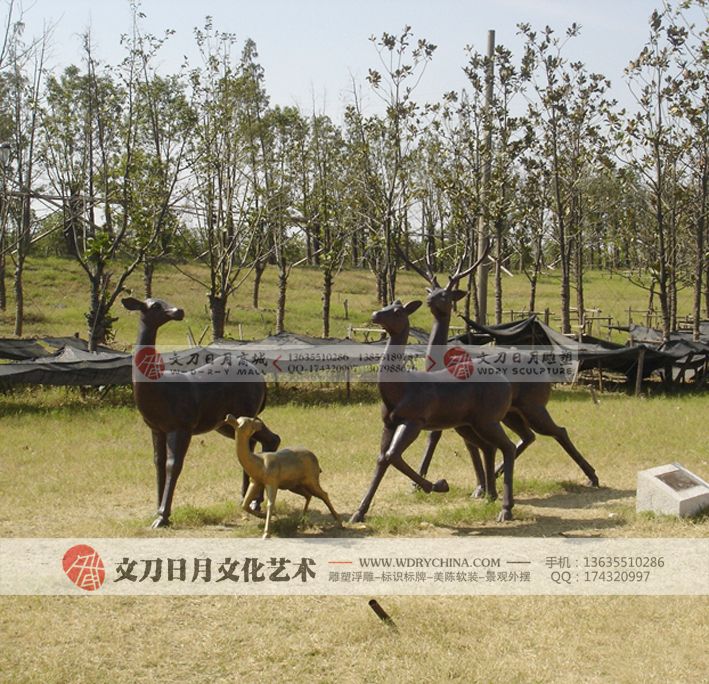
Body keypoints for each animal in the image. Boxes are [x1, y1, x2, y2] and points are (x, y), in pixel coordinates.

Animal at [122, 297, 281, 528]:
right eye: (156, 306)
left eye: (166, 302)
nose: (178, 311)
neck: (159, 387)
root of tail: (261, 379)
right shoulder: (156, 428)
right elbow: (158, 463)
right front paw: (156, 512)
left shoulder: (182, 426)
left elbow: (173, 465)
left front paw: (163, 516)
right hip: (227, 422)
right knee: (261, 440)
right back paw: (249, 500)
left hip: (244, 412)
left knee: (266, 439)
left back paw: (253, 502)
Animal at [349, 299, 518, 524]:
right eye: (387, 304)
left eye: (397, 311)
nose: (376, 315)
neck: (399, 389)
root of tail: (506, 384)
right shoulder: (388, 423)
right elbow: (382, 458)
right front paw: (358, 512)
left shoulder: (414, 420)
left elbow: (393, 455)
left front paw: (438, 485)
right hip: (466, 424)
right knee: (489, 447)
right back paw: (490, 496)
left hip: (488, 419)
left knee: (508, 446)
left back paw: (506, 509)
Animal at [400, 245, 599, 496]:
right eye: (432, 289)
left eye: (446, 294)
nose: (429, 299)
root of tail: (543, 369)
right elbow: (462, 445)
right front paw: (478, 486)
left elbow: (443, 439)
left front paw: (420, 484)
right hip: (511, 412)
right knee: (527, 436)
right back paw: (497, 472)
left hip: (534, 405)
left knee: (557, 431)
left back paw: (593, 477)